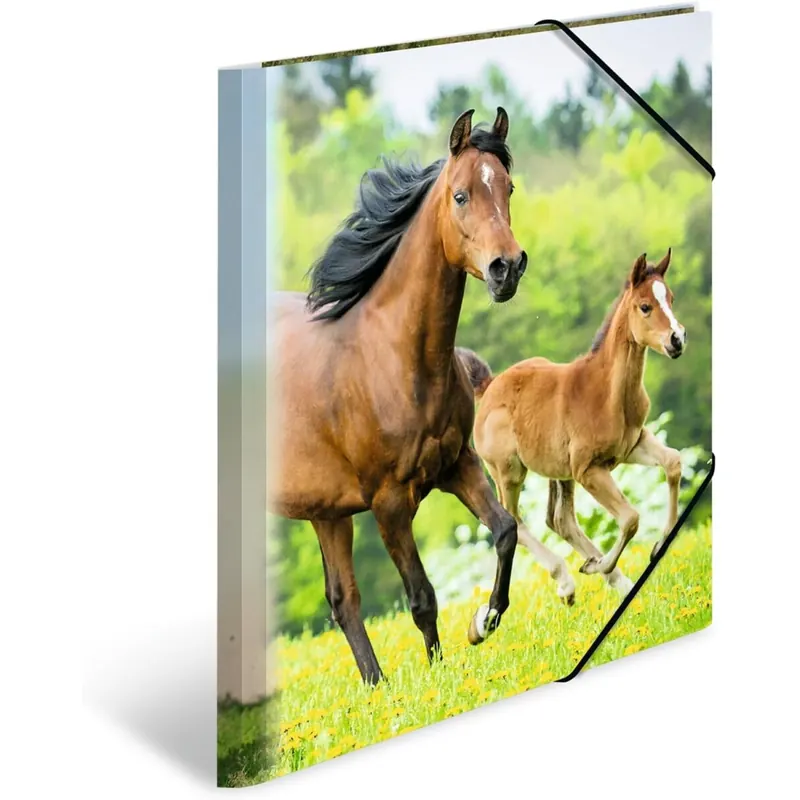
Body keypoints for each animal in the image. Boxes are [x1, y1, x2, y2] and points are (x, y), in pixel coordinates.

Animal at [270, 108, 528, 684]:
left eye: (508, 187)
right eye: (460, 195)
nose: (507, 268)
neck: (392, 360)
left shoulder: (457, 464)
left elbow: (505, 530)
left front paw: (484, 621)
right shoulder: (389, 503)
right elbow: (422, 596)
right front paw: (437, 677)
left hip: (326, 511)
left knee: (343, 600)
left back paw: (376, 688)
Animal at [458, 249, 686, 604]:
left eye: (671, 299)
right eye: (645, 306)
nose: (677, 340)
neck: (608, 392)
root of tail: (490, 386)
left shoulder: (633, 445)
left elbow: (673, 463)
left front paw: (659, 544)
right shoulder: (587, 469)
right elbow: (631, 518)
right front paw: (602, 564)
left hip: (557, 471)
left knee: (559, 520)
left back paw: (613, 578)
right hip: (509, 471)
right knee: (514, 521)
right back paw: (568, 580)